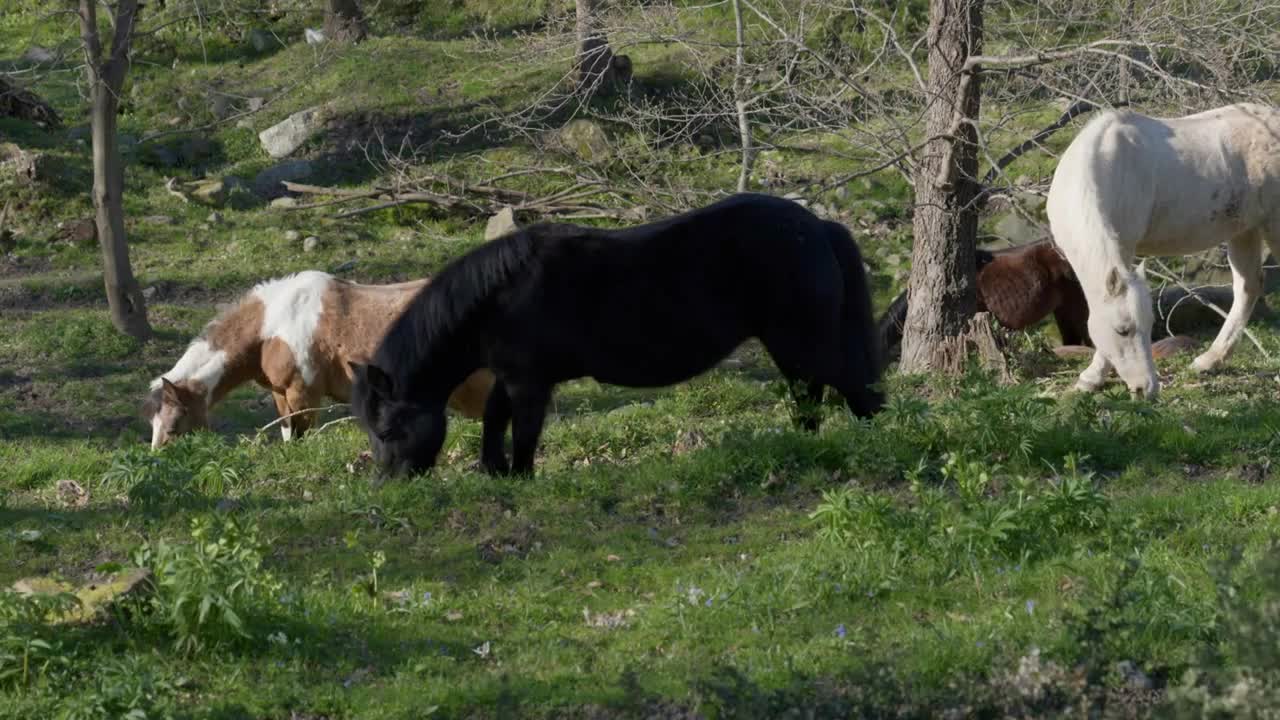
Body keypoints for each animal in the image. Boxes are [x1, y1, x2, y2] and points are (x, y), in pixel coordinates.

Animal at [145, 269, 494, 445]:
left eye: (173, 428)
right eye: (153, 424)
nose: (161, 460)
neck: (274, 324)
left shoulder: (304, 394)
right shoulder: (281, 394)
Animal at [353, 192, 890, 476]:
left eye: (388, 430)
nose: (389, 486)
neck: (500, 295)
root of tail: (817, 227)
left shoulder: (530, 383)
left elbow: (522, 430)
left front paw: (520, 477)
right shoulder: (511, 376)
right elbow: (493, 417)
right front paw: (495, 471)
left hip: (802, 341)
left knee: (853, 391)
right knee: (810, 395)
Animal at [1049, 99, 1280, 397]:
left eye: (1148, 327)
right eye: (1123, 331)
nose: (1146, 389)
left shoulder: (1125, 248)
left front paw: (1092, 376)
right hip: (1244, 230)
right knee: (1248, 287)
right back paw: (1210, 360)